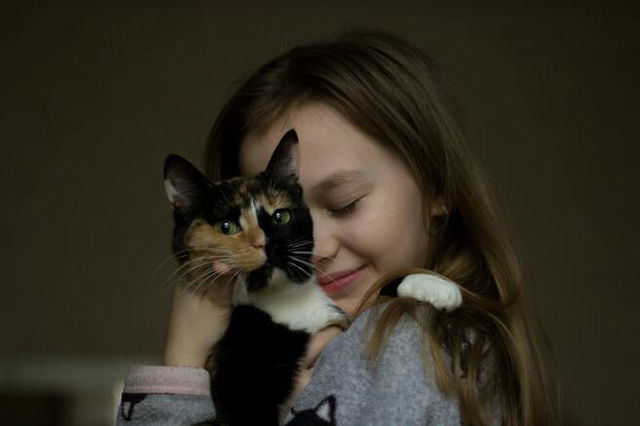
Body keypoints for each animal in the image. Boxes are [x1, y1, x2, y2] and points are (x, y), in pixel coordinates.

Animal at [165, 130, 462, 426]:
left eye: (280, 216)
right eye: (226, 227)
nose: (268, 244)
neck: (284, 299)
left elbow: (377, 290)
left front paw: (433, 285)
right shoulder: (236, 379)